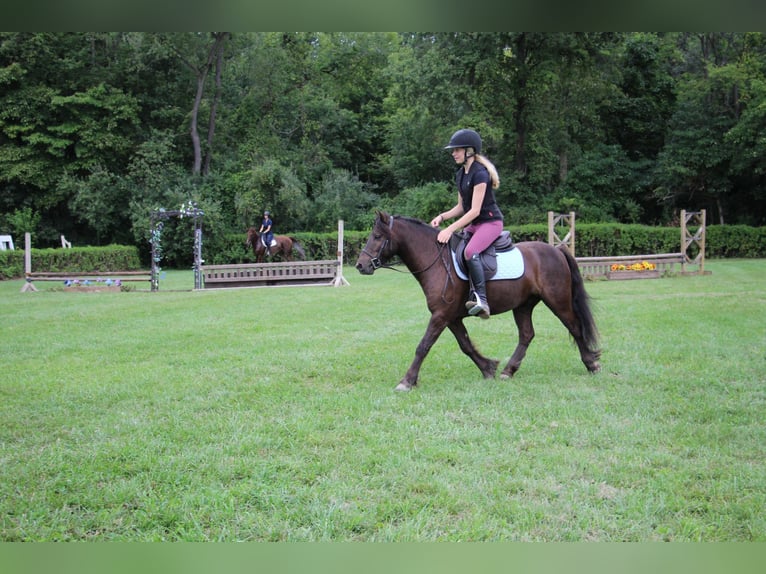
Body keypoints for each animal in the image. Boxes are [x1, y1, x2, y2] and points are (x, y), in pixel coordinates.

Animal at [356, 214, 604, 394]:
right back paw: (508, 370)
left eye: (377, 236)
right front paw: (488, 368)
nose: (360, 265)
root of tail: (558, 250)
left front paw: (406, 381)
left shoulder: (441, 315)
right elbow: (465, 345)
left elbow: (423, 346)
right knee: (527, 335)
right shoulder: (451, 317)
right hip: (523, 305)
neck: (438, 261)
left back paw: (591, 364)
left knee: (575, 327)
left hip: (557, 301)